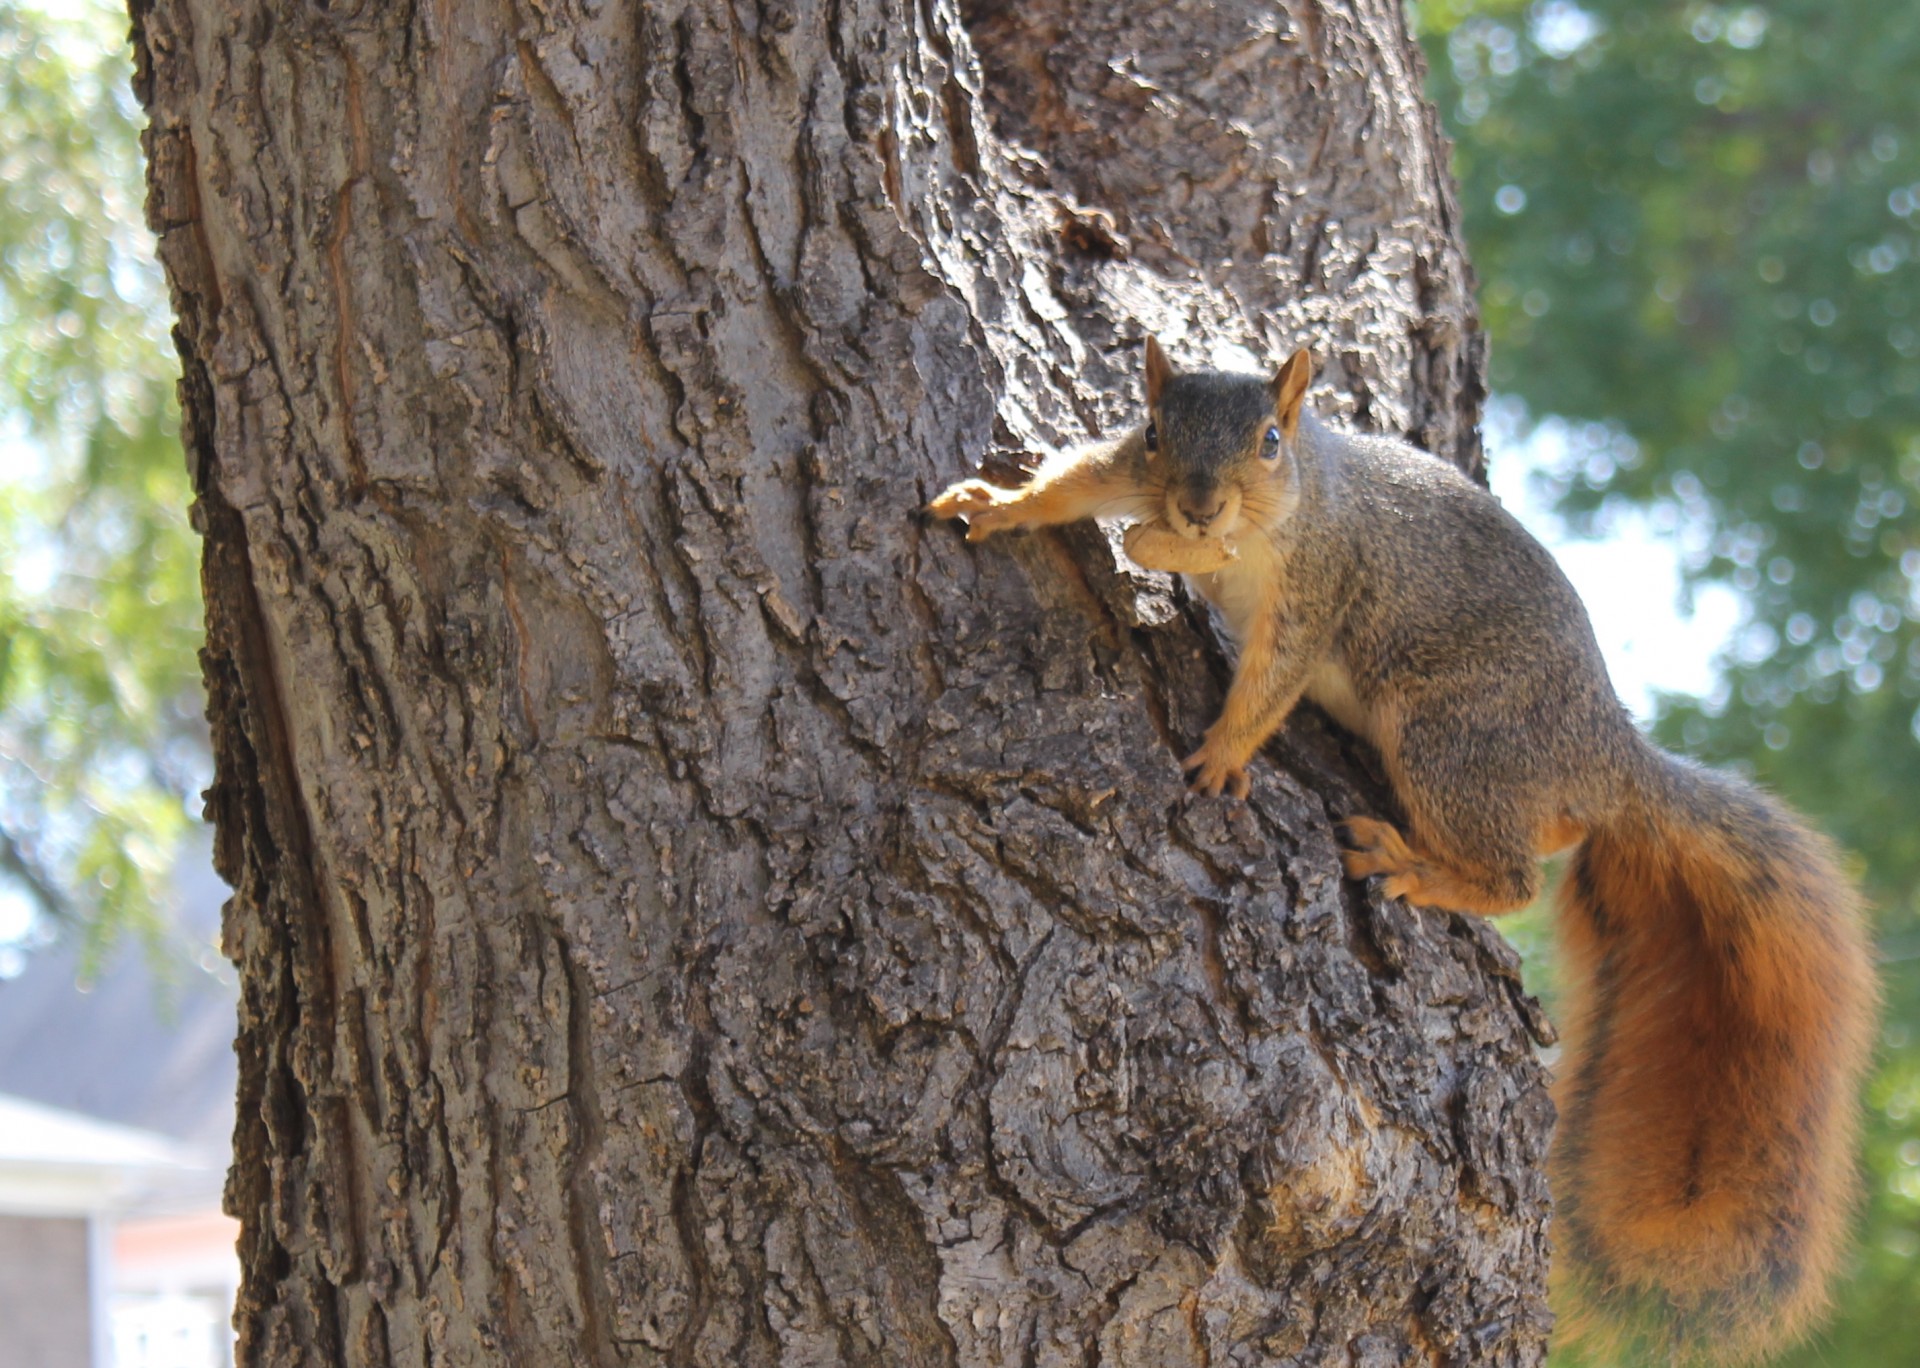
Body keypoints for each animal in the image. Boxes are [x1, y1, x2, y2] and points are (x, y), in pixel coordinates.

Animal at [925, 336, 1873, 1360]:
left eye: (1269, 442)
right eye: (1153, 430)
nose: (1199, 508)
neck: (1292, 499)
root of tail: (1609, 762)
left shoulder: (1318, 586)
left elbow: (1271, 683)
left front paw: (1222, 756)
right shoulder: (1125, 474)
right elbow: (1073, 482)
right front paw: (1001, 505)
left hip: (1449, 739)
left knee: (1511, 877)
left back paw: (1414, 865)